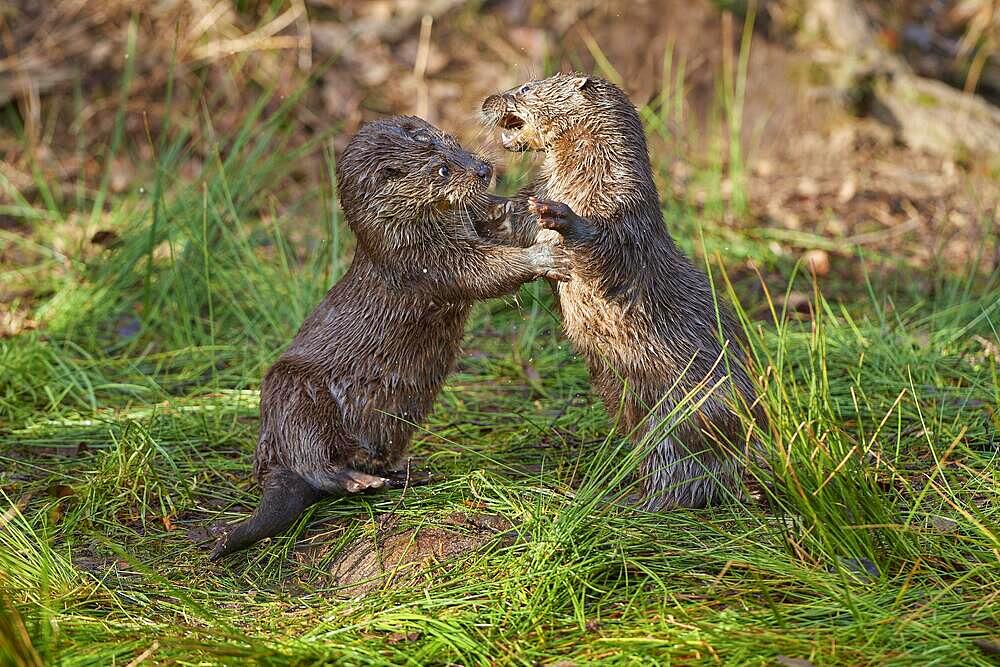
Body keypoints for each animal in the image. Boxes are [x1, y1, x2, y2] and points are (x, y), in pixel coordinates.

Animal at [209, 117, 572, 560]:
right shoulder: (424, 264)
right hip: (295, 393)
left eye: (453, 143)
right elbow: (484, 272)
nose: (484, 170)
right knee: (312, 461)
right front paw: (543, 257)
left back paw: (406, 473)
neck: (413, 235)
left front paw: (534, 205)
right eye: (440, 170)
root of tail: (269, 451)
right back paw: (355, 479)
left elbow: (499, 224)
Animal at [482, 74, 764, 512]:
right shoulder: (529, 205)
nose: (487, 100)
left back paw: (621, 500)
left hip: (690, 407)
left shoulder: (626, 213)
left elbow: (607, 244)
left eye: (526, 87)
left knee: (682, 473)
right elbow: (511, 219)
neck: (580, 182)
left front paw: (564, 218)